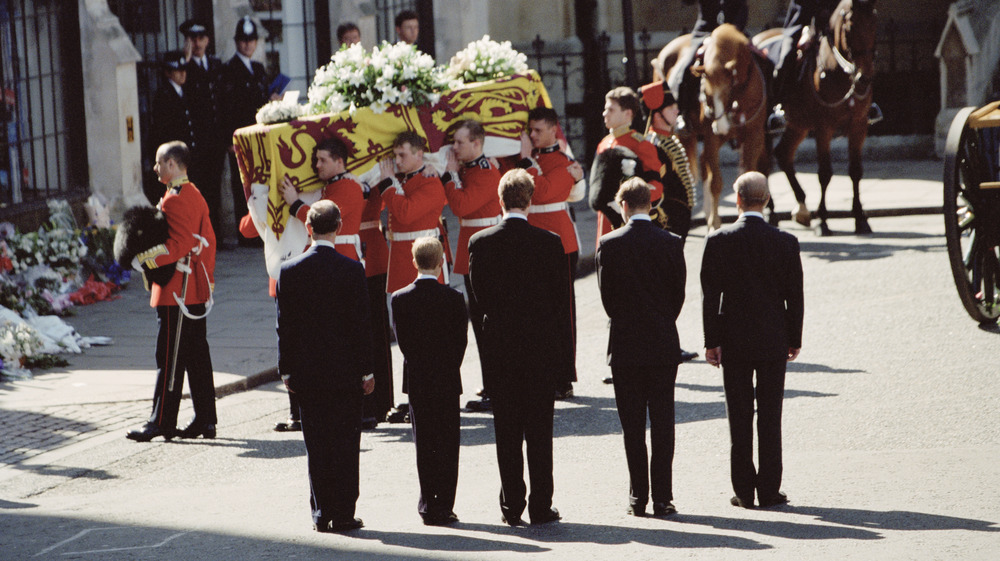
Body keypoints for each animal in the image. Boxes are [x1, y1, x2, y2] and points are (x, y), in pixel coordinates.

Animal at [652, 24, 768, 230]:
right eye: (705, 94)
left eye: (729, 88)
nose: (720, 127)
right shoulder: (711, 138)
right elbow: (716, 182)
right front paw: (714, 223)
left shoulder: (754, 135)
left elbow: (748, 173)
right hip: (683, 135)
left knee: (703, 162)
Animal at [752, 0, 880, 234]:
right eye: (850, 27)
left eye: (874, 23)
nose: (864, 78)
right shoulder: (824, 127)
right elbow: (825, 174)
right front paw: (823, 220)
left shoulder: (858, 126)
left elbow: (856, 171)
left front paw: (860, 218)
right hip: (762, 126)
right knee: (764, 163)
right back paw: (770, 211)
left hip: (798, 124)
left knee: (783, 154)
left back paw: (801, 208)